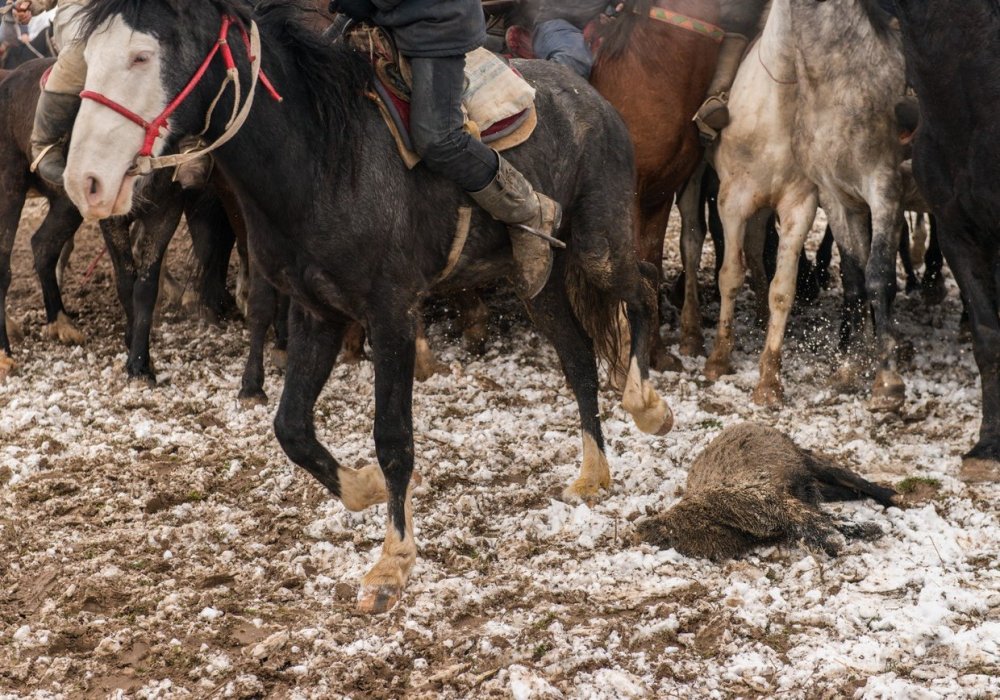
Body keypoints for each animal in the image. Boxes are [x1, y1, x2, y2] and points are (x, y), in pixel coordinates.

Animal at [66, 0, 676, 612]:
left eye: (141, 57)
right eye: (88, 57)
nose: (84, 182)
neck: (322, 158)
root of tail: (593, 98)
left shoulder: (391, 316)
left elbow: (393, 437)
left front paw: (392, 563)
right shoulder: (317, 313)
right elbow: (291, 427)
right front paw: (365, 488)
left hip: (598, 245)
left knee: (644, 288)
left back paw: (648, 404)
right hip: (539, 282)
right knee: (577, 357)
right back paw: (593, 472)